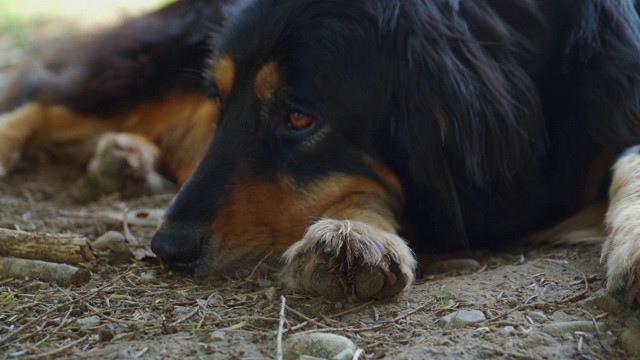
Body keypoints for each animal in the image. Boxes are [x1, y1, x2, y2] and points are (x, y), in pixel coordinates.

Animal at [1, 0, 640, 304]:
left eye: (299, 117)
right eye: (220, 98)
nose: (166, 249)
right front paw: (352, 234)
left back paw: (124, 156)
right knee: (47, 95)